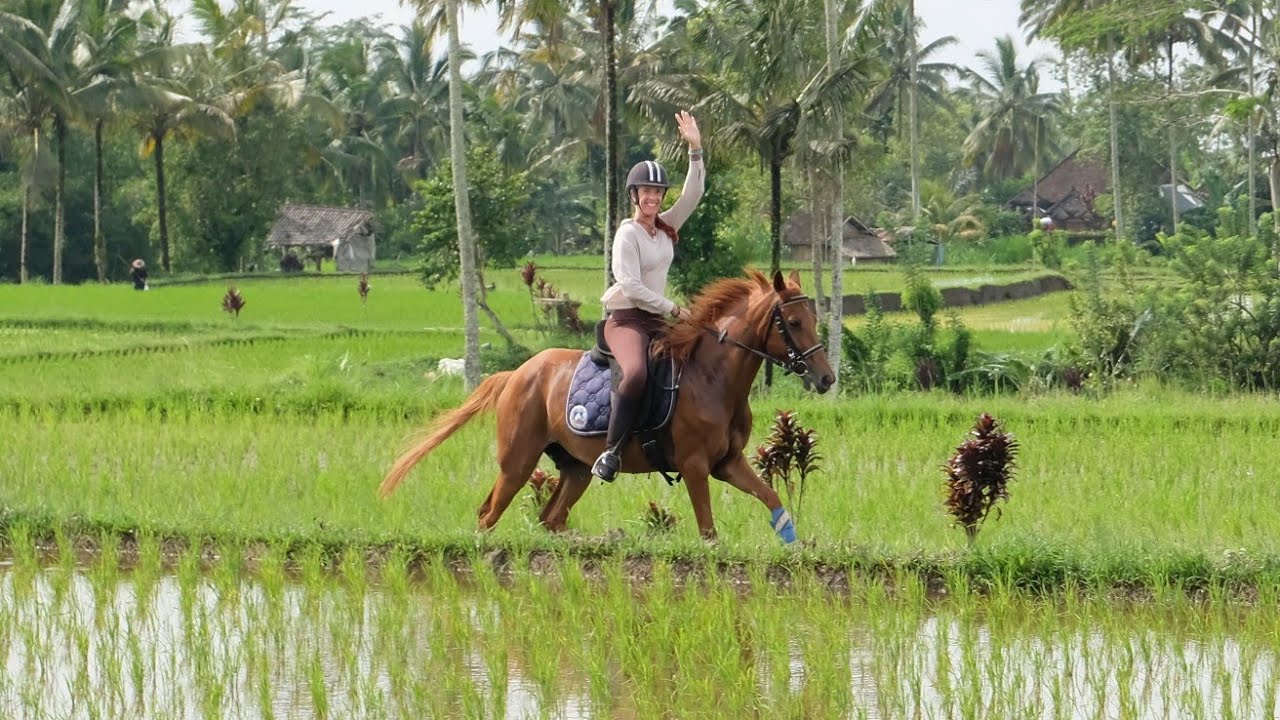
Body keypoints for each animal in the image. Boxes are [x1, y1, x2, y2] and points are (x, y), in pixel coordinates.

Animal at [379, 269, 835, 543]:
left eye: (814, 319)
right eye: (794, 323)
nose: (826, 378)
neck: (713, 378)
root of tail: (515, 374)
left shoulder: (727, 462)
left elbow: (772, 500)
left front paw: (794, 545)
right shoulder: (694, 465)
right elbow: (708, 531)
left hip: (575, 468)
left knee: (550, 519)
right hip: (517, 462)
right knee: (488, 514)